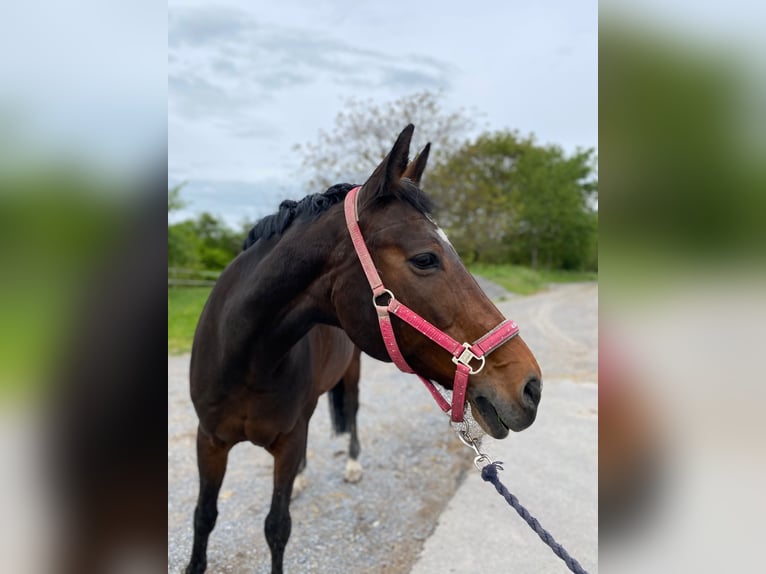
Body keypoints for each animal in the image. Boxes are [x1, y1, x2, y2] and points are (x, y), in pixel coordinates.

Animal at [186, 126, 544, 574]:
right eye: (425, 259)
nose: (530, 387)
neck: (246, 360)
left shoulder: (287, 441)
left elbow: (277, 526)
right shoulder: (210, 440)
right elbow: (204, 517)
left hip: (351, 375)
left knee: (352, 412)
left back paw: (352, 464)